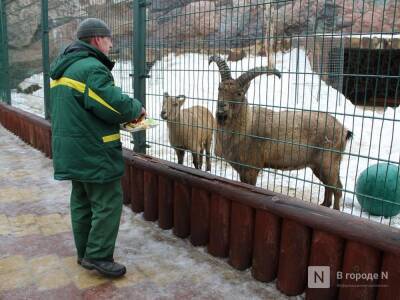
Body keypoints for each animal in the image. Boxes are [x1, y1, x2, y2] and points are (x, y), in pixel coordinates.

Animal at [209, 55, 354, 210]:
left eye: (239, 93)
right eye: (219, 88)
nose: (221, 107)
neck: (247, 126)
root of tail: (344, 130)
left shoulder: (251, 168)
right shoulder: (242, 170)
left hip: (329, 162)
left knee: (337, 188)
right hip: (318, 166)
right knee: (329, 187)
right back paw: (324, 205)